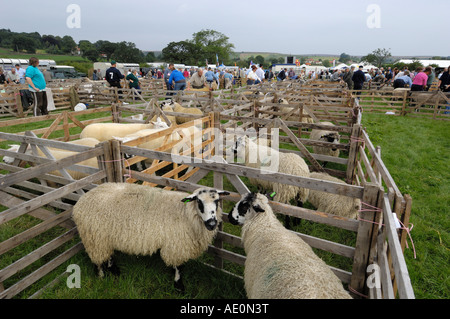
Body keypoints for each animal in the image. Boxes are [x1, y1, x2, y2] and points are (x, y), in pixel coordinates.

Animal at [73, 185, 232, 292]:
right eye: (199, 202)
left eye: (217, 201)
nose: (212, 224)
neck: (185, 213)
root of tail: (81, 200)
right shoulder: (176, 245)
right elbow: (179, 267)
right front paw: (178, 285)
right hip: (94, 238)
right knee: (98, 260)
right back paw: (101, 276)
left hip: (105, 236)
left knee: (109, 254)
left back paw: (114, 270)